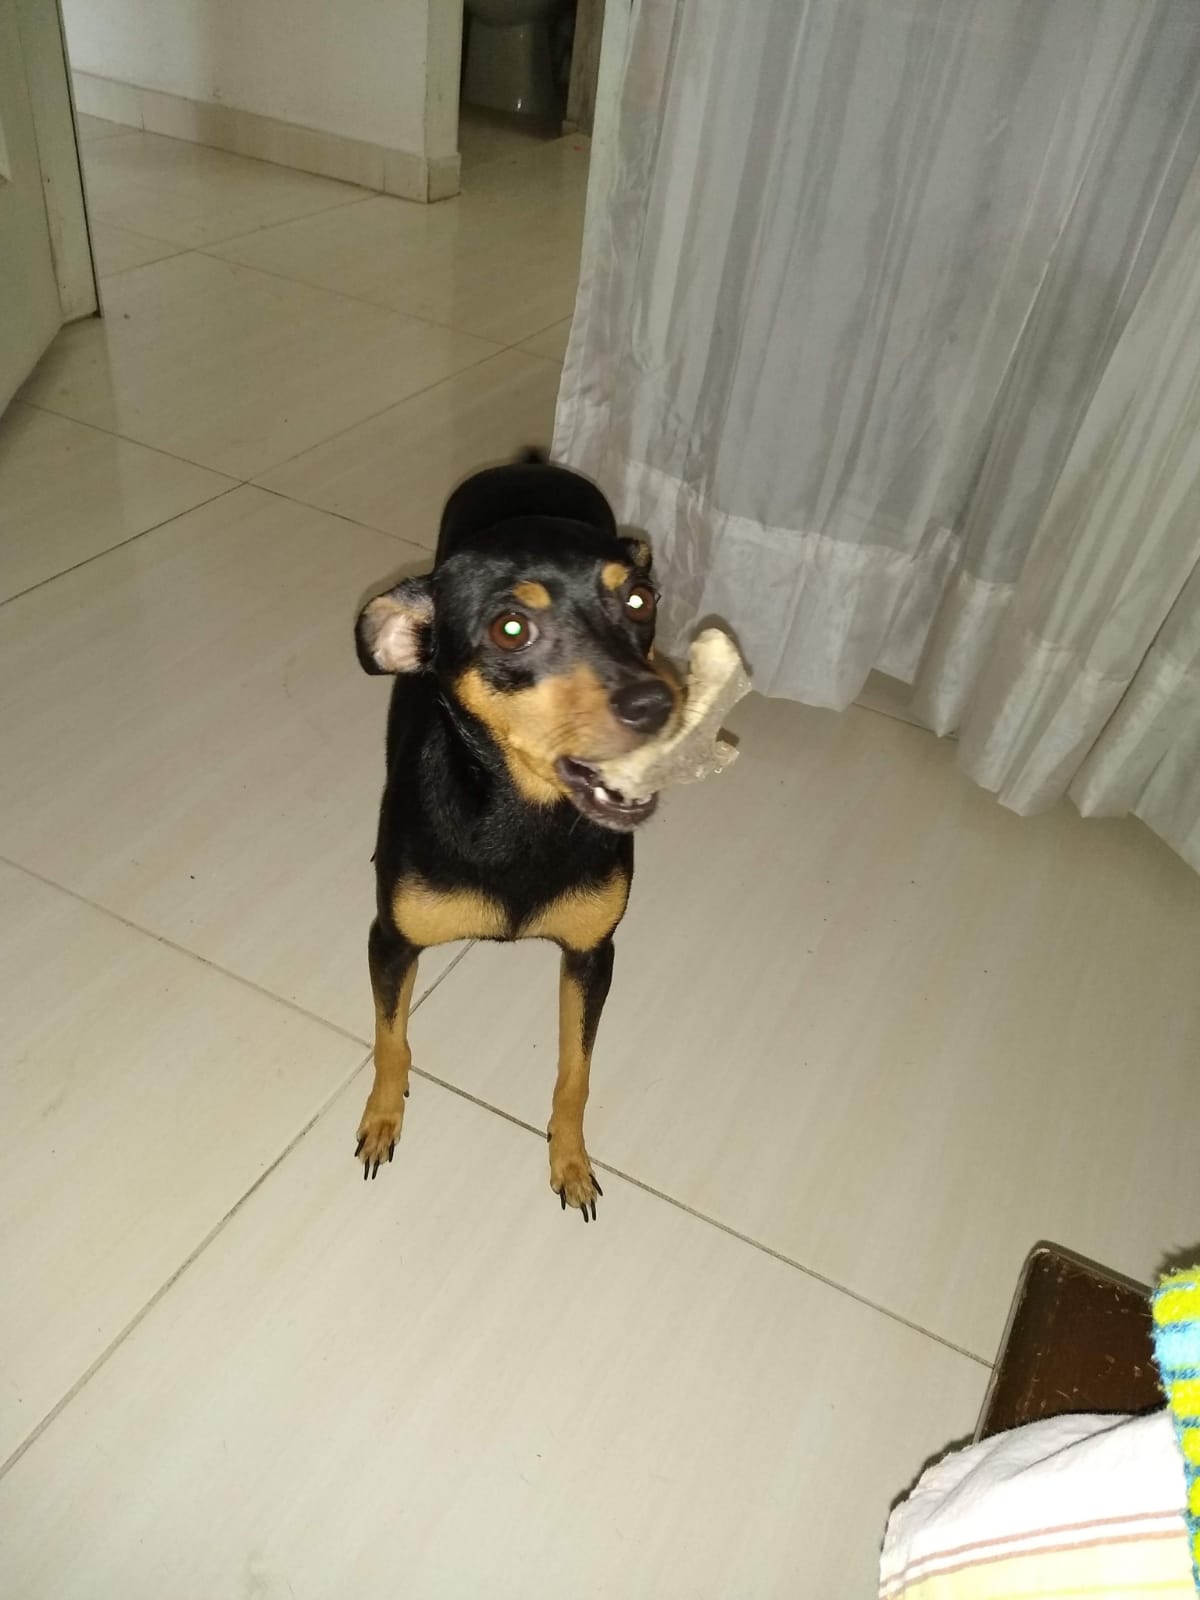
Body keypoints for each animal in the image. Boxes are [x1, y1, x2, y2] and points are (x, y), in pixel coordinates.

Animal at [353, 452, 681, 1219]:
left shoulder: (593, 955)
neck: (523, 816)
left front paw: (571, 1161)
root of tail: (530, 463)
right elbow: (390, 1040)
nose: (659, 703)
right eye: (510, 629)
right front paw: (383, 1117)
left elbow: (576, 1073)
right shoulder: (391, 942)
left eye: (640, 601)